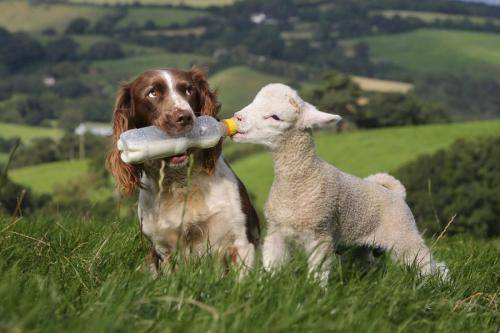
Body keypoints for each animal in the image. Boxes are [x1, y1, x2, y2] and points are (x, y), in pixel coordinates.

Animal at [107, 67, 260, 272]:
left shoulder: (240, 240)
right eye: (152, 93)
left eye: (189, 90)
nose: (184, 117)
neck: (181, 182)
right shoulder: (164, 249)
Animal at [232, 83, 448, 282]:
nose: (237, 117)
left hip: (403, 234)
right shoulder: (276, 233)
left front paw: (316, 292)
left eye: (275, 117)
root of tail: (396, 193)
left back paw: (439, 284)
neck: (301, 180)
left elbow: (318, 273)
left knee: (429, 264)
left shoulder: (320, 235)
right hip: (359, 246)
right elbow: (271, 267)